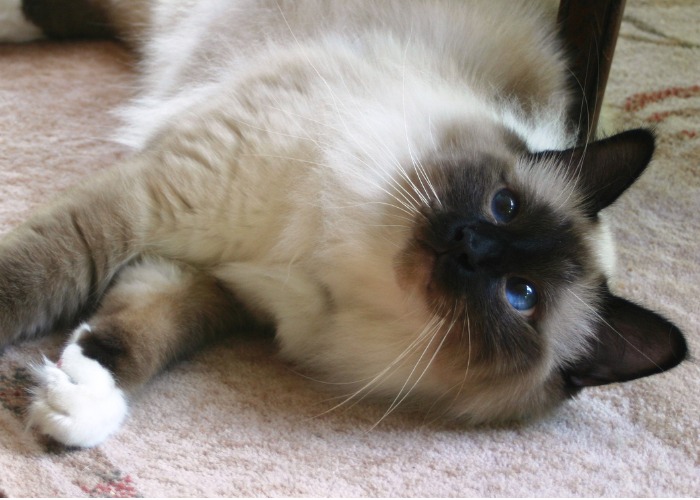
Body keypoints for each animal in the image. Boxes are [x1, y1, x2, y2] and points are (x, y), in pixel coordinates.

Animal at [0, 0, 688, 446]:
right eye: (505, 206)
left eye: (521, 295)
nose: (468, 244)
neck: (344, 258)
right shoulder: (150, 202)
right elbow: (30, 281)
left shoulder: (206, 276)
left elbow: (134, 338)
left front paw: (75, 401)